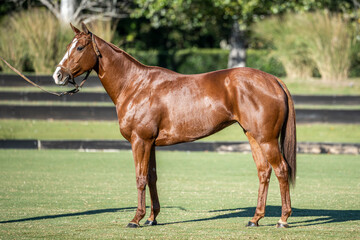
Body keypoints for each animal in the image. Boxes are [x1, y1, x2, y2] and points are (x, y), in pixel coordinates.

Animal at [52, 23, 296, 229]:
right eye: (68, 46)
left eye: (80, 47)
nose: (58, 75)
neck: (135, 85)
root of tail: (274, 80)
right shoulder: (149, 143)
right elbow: (151, 178)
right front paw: (151, 218)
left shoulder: (140, 141)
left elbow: (140, 178)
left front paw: (136, 219)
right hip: (253, 136)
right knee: (264, 172)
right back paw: (255, 218)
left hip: (267, 139)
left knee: (281, 170)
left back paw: (283, 219)